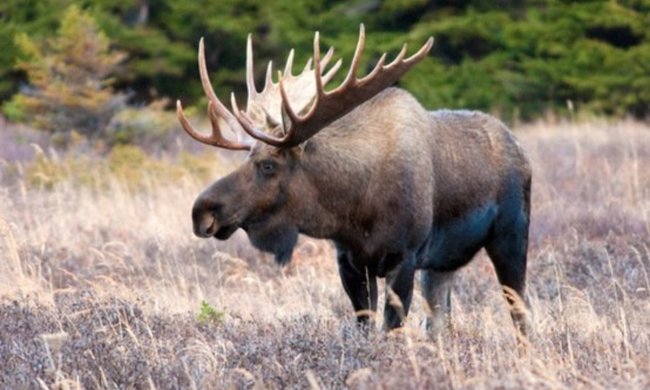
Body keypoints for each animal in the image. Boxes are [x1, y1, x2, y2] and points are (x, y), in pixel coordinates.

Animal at [175, 25, 528, 336]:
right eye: (247, 159)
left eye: (268, 165)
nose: (201, 211)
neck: (356, 208)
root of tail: (519, 146)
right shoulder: (350, 261)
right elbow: (365, 328)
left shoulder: (405, 257)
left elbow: (390, 330)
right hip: (442, 265)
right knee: (439, 322)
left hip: (510, 237)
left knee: (520, 313)